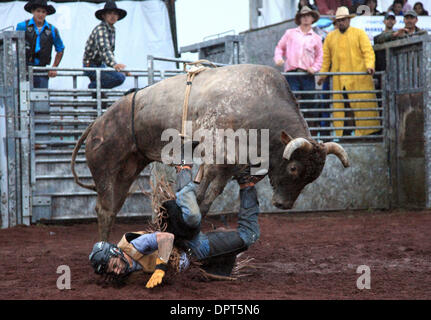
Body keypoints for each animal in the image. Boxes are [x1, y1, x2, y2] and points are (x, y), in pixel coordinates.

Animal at [70, 64, 348, 240]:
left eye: (312, 177)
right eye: (293, 167)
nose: (283, 204)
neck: (258, 104)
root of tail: (96, 125)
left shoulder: (229, 165)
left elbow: (209, 195)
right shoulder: (215, 153)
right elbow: (203, 189)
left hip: (126, 172)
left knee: (112, 206)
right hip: (106, 170)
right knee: (105, 210)